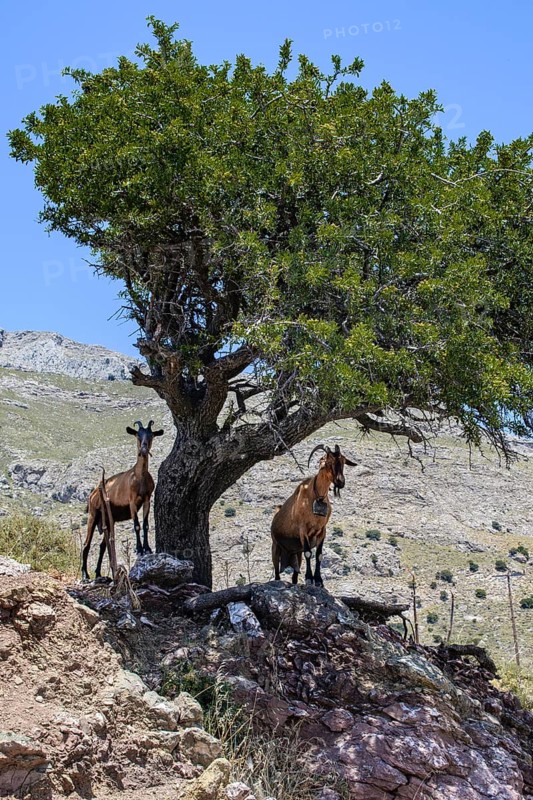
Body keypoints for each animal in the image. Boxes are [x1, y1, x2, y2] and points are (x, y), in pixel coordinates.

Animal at [81, 420, 164, 581]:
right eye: (138, 435)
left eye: (151, 435)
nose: (143, 449)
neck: (138, 477)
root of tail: (92, 494)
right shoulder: (132, 501)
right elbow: (137, 525)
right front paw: (139, 549)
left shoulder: (147, 499)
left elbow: (145, 525)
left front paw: (147, 548)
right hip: (93, 514)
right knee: (86, 543)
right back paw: (85, 574)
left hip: (108, 519)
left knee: (103, 545)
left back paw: (98, 573)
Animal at [271, 444, 356, 586]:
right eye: (328, 462)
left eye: (343, 461)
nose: (340, 482)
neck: (316, 496)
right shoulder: (303, 529)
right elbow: (308, 553)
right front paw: (309, 579)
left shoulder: (322, 531)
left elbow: (319, 555)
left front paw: (319, 580)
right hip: (275, 547)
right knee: (277, 573)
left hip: (295, 555)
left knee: (294, 575)